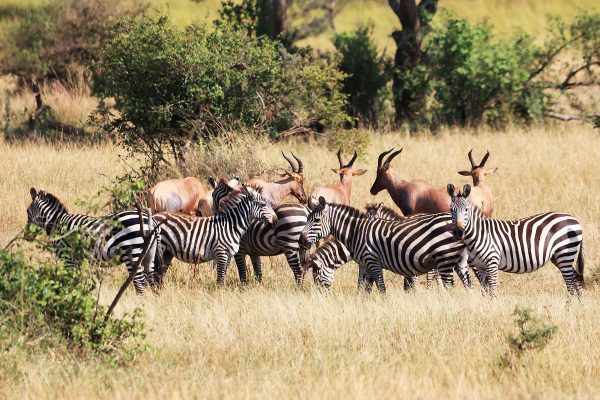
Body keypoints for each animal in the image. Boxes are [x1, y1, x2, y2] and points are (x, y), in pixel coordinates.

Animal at [26, 188, 159, 294]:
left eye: (27, 211)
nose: (26, 237)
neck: (57, 223)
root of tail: (150, 220)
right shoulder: (77, 259)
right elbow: (77, 280)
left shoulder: (68, 257)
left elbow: (70, 280)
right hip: (149, 254)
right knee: (152, 280)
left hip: (132, 253)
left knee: (140, 282)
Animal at [300, 197, 468, 294]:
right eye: (307, 218)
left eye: (316, 220)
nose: (301, 240)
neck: (355, 233)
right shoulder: (364, 264)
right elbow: (363, 287)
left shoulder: (373, 262)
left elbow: (381, 287)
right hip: (455, 260)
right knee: (466, 281)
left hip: (444, 258)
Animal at [448, 184, 584, 296]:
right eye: (451, 210)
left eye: (466, 210)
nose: (459, 231)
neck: (478, 234)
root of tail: (574, 219)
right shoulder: (480, 266)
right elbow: (485, 291)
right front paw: (486, 307)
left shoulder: (492, 262)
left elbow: (493, 289)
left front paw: (494, 307)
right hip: (558, 256)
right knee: (576, 279)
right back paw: (578, 306)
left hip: (564, 253)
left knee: (570, 283)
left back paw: (568, 308)